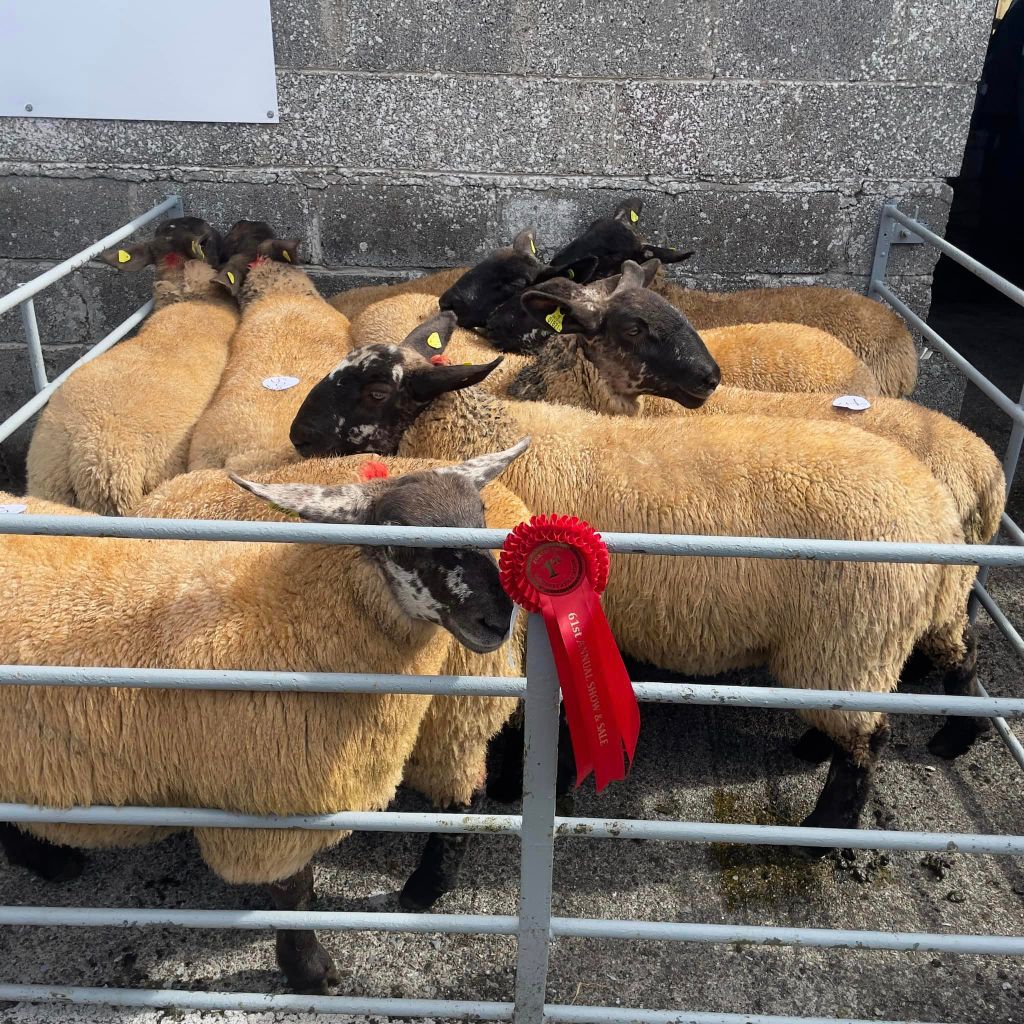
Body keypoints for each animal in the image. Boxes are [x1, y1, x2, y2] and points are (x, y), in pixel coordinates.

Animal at [0, 440, 529, 993]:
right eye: (402, 539)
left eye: (480, 518)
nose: (498, 619)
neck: (291, 615)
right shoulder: (265, 805)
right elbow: (293, 896)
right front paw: (312, 974)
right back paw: (49, 860)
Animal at [288, 321, 986, 850]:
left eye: (376, 387)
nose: (298, 435)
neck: (490, 440)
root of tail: (936, 510)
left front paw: (526, 785)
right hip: (887, 629)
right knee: (956, 654)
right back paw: (941, 738)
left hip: (853, 633)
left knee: (867, 741)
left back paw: (821, 833)